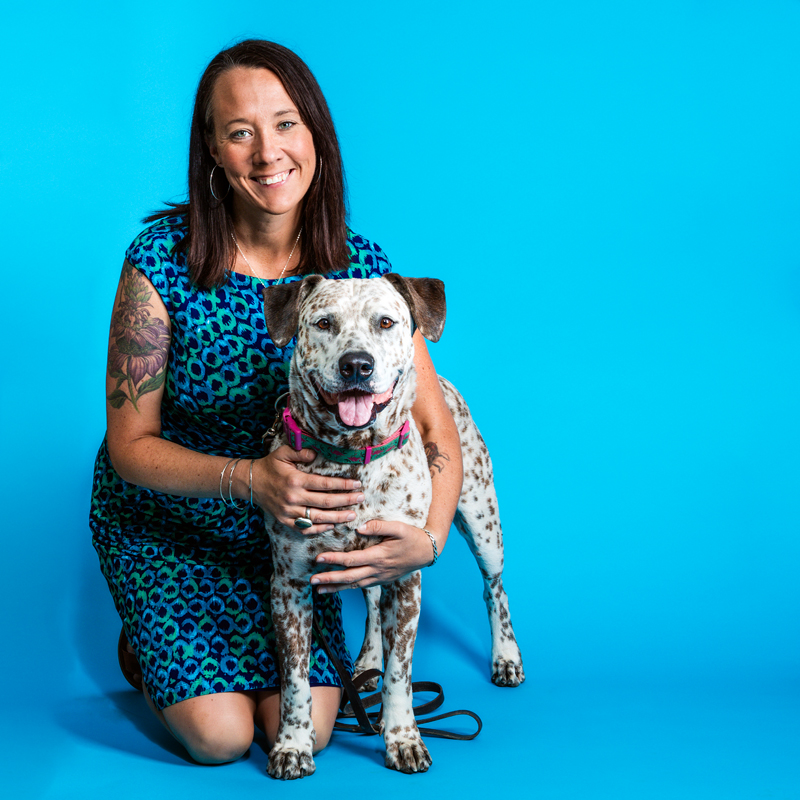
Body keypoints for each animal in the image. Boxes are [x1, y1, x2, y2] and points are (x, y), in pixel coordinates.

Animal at [262, 276, 524, 780]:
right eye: (323, 323)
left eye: (386, 322)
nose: (356, 365)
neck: (351, 458)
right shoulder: (289, 585)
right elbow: (295, 679)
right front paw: (293, 744)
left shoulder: (405, 576)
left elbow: (401, 674)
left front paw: (402, 736)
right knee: (369, 599)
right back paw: (366, 662)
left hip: (483, 524)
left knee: (494, 589)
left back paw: (506, 657)